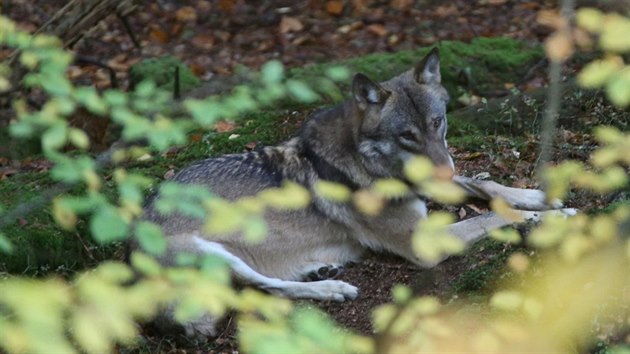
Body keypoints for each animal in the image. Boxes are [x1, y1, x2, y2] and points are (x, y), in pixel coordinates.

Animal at [143, 47, 576, 338]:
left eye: (437, 123)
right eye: (407, 135)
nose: (444, 169)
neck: (368, 164)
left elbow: (485, 184)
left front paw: (538, 197)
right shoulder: (424, 243)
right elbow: (491, 214)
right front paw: (549, 216)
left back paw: (322, 269)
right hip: (212, 254)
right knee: (267, 288)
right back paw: (333, 287)